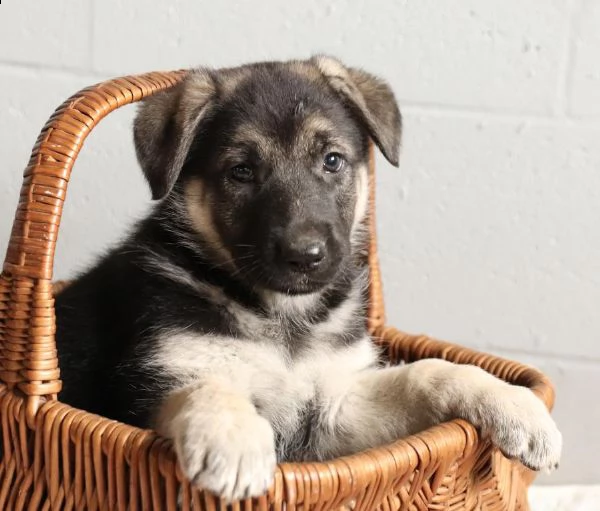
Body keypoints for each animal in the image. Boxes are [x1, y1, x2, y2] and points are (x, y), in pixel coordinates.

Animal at [54, 56, 560, 500]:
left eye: (332, 160)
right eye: (241, 171)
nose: (305, 256)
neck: (282, 316)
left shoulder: (335, 405)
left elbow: (430, 372)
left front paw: (515, 405)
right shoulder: (152, 385)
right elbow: (209, 387)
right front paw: (235, 443)